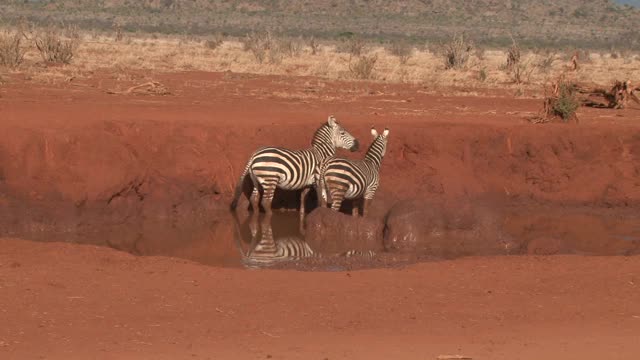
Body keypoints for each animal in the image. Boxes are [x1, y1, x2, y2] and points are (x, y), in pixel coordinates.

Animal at [230, 115, 360, 218]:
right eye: (343, 133)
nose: (358, 145)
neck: (321, 154)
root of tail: (254, 154)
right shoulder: (317, 181)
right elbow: (320, 201)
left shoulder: (307, 183)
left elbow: (302, 199)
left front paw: (302, 215)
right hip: (270, 179)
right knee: (265, 202)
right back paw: (270, 216)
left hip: (256, 180)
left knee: (254, 199)